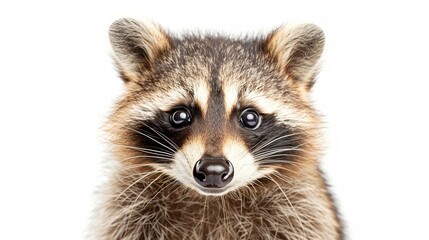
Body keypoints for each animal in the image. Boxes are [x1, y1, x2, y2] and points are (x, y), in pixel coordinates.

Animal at [92, 17, 342, 239]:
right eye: (180, 116)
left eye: (250, 117)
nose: (213, 170)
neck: (212, 200)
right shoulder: (127, 208)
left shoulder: (305, 211)